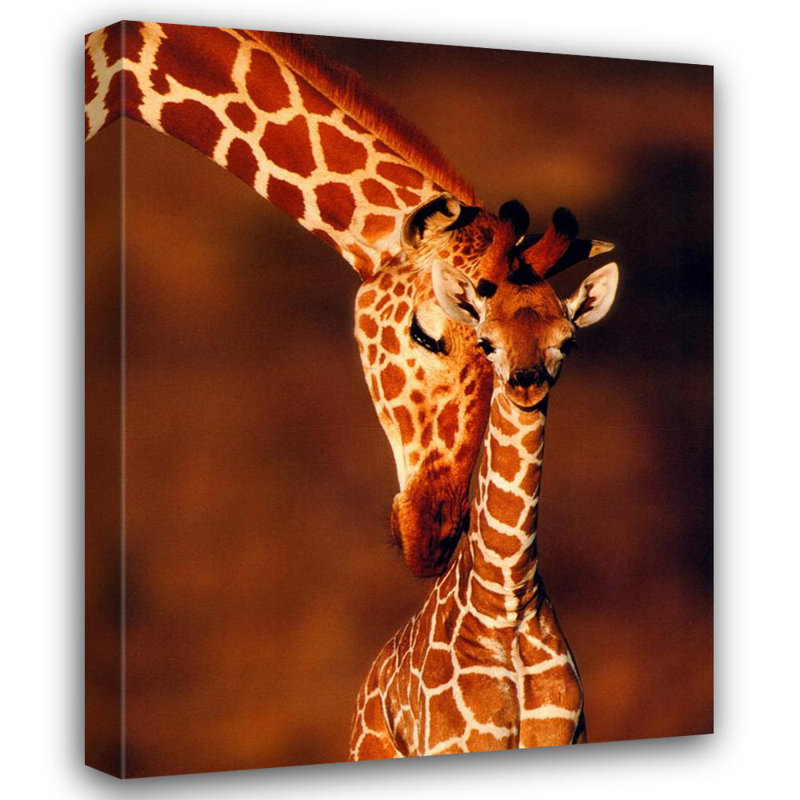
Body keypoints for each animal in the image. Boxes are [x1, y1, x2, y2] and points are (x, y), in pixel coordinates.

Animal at [349, 208, 619, 758]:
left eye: (568, 340)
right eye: (486, 340)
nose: (526, 380)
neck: (507, 599)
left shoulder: (566, 735)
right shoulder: (459, 743)